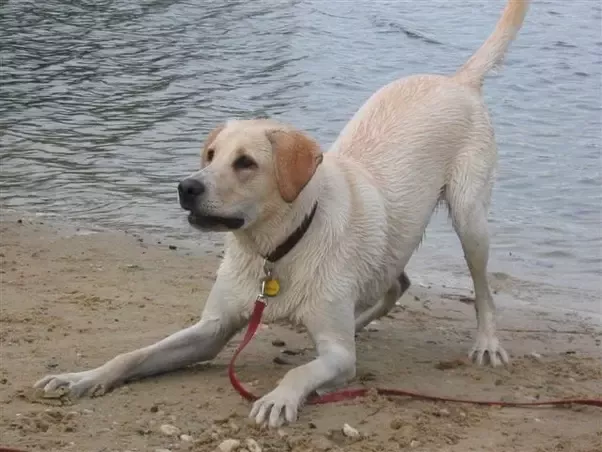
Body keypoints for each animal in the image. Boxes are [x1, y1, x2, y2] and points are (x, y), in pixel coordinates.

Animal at [35, 0, 528, 430]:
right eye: (210, 155)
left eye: (245, 163)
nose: (186, 188)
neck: (275, 249)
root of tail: (457, 81)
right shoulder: (211, 330)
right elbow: (134, 354)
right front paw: (84, 377)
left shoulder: (337, 357)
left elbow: (302, 372)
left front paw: (278, 398)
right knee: (396, 283)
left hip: (470, 218)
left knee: (482, 289)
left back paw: (487, 342)